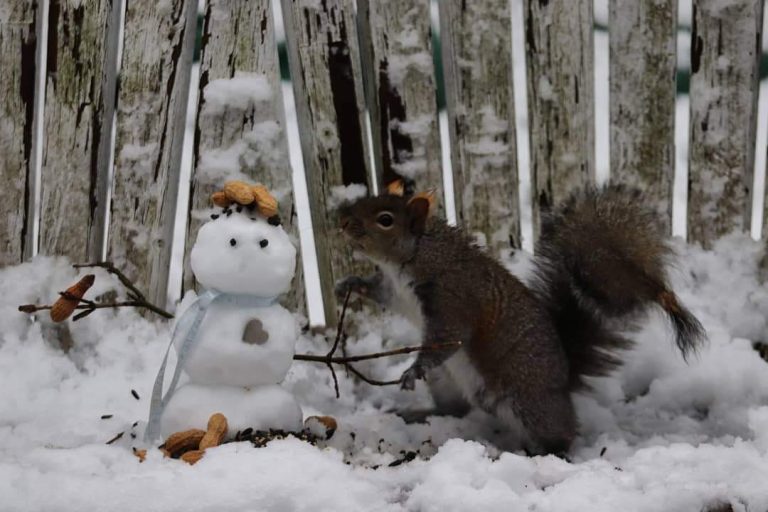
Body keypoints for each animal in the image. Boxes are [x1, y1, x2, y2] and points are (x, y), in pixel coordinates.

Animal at [336, 182, 706, 455]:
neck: (413, 257)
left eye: (385, 219)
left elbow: (447, 336)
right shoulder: (395, 293)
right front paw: (349, 285)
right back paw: (423, 414)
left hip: (529, 402)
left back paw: (543, 454)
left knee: (560, 433)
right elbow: (379, 294)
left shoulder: (453, 299)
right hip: (447, 381)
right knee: (455, 409)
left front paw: (413, 370)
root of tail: (564, 377)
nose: (342, 221)